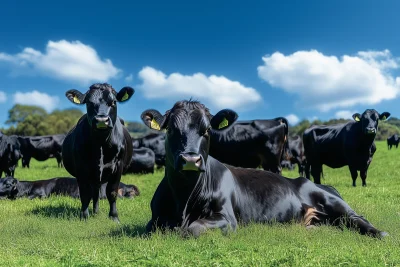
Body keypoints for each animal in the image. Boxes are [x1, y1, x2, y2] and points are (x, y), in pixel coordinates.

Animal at [62, 83, 134, 222]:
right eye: (89, 103)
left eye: (113, 102)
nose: (101, 120)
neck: (101, 142)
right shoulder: (82, 167)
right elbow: (85, 193)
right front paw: (84, 216)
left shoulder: (118, 166)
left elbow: (112, 192)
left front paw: (114, 217)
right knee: (94, 192)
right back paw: (95, 212)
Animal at [141, 100, 388, 239]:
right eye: (170, 129)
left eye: (207, 130)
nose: (191, 159)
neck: (184, 199)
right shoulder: (154, 220)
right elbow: (157, 227)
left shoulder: (227, 218)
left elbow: (192, 229)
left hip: (332, 201)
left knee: (357, 218)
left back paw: (380, 233)